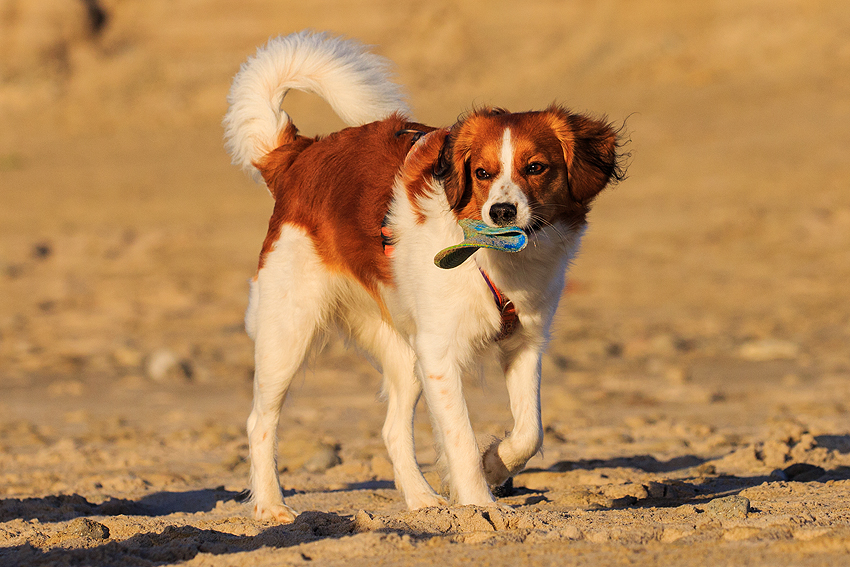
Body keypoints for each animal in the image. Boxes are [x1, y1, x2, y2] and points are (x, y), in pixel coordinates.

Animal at [224, 28, 624, 520]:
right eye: (482, 173)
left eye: (536, 167)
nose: (501, 211)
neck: (492, 262)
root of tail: (299, 156)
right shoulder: (440, 355)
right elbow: (460, 438)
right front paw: (480, 504)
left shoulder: (525, 344)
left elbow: (530, 431)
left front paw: (494, 466)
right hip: (288, 332)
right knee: (259, 421)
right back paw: (270, 506)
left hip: (404, 349)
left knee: (392, 429)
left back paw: (420, 500)